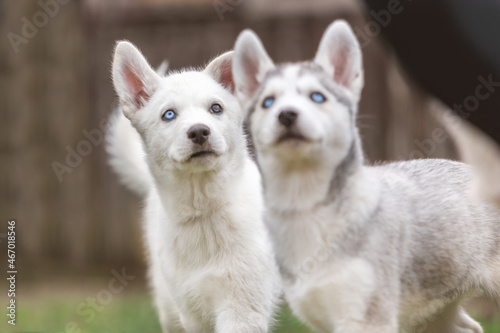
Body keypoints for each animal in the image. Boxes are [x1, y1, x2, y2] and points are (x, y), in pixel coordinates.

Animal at [108, 41, 282, 332]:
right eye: (169, 115)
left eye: (216, 108)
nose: (199, 132)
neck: (204, 212)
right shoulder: (193, 314)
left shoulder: (243, 309)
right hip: (169, 306)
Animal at [231, 21, 500, 332]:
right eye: (268, 102)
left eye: (317, 97)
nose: (286, 115)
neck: (308, 211)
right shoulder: (322, 317)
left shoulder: (368, 317)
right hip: (432, 314)